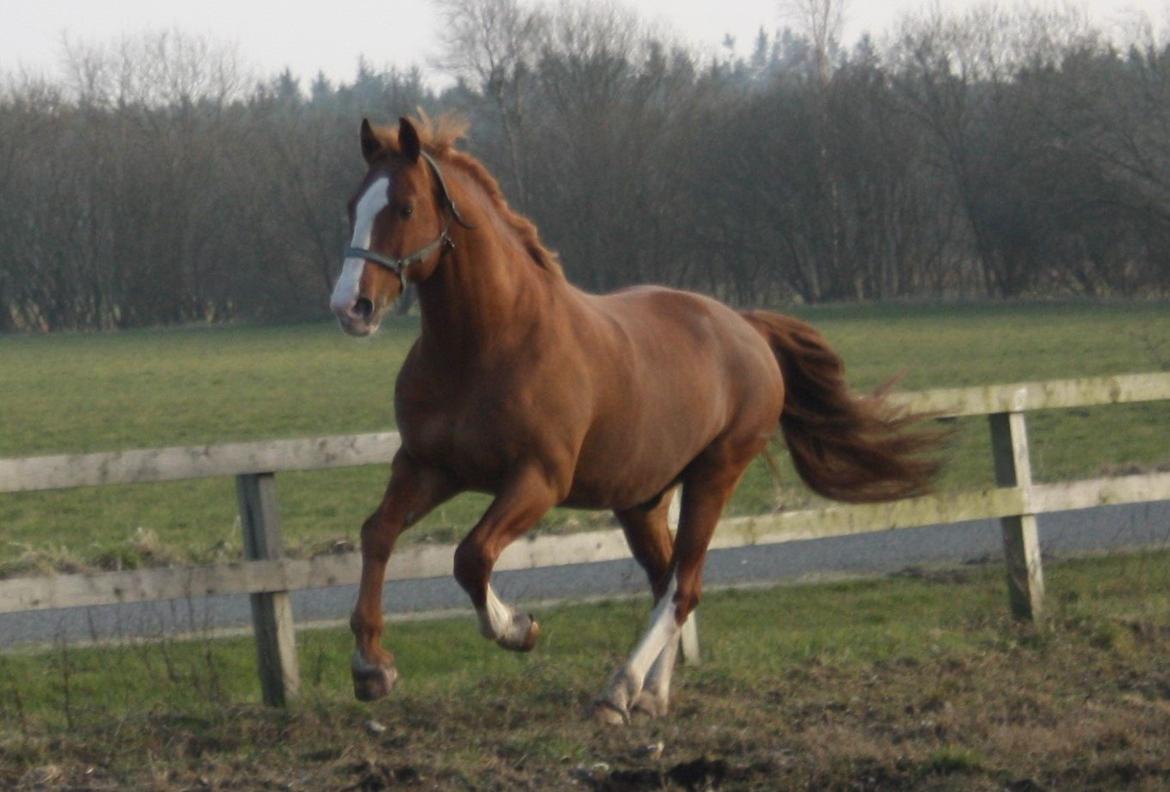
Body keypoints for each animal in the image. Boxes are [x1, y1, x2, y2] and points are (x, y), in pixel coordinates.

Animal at [329, 112, 940, 720]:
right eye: (352, 205)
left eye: (405, 207)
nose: (350, 307)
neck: (486, 344)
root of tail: (745, 327)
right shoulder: (428, 466)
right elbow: (377, 534)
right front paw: (372, 668)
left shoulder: (538, 480)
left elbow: (470, 557)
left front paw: (519, 629)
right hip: (643, 500)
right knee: (666, 580)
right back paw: (651, 695)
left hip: (714, 475)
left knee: (682, 587)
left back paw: (619, 690)